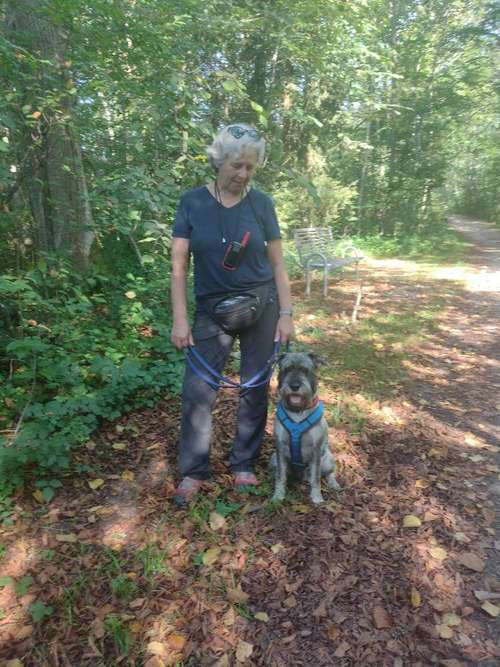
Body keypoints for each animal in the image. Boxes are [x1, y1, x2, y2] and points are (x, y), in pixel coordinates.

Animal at [272, 352, 342, 504]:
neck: (298, 412)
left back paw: (334, 484)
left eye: (305, 370)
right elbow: (280, 476)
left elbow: (316, 478)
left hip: (328, 459)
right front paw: (278, 495)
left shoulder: (316, 451)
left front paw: (317, 498)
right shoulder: (280, 449)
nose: (295, 386)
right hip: (273, 459)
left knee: (328, 473)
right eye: (287, 369)